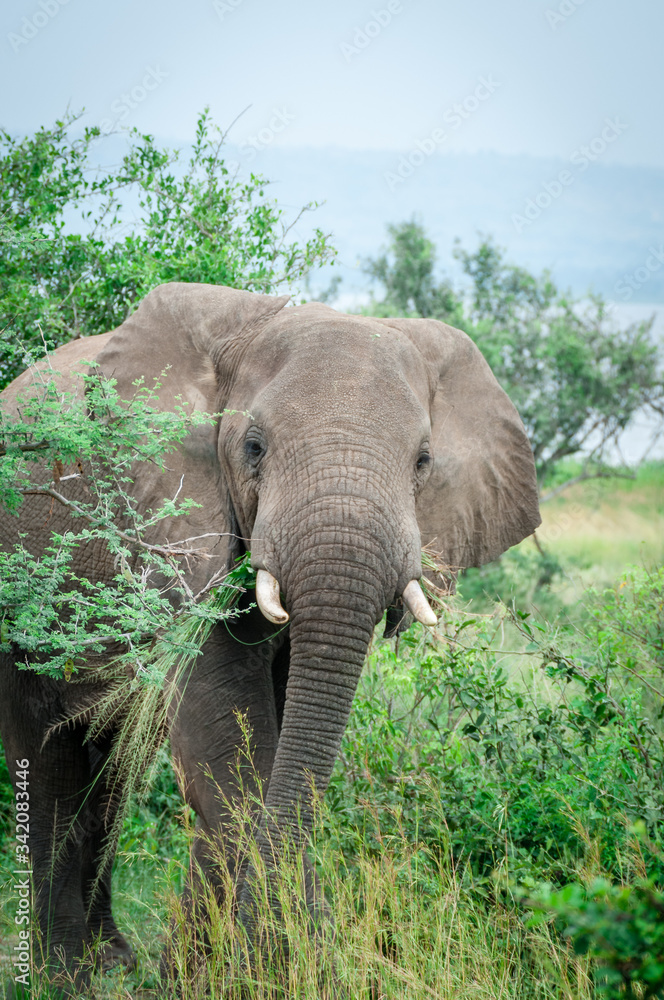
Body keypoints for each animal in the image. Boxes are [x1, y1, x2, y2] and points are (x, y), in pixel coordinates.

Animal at [0, 282, 541, 988]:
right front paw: (282, 965)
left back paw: (114, 961)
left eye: (423, 462)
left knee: (113, 768)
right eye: (254, 448)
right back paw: (67, 976)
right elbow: (225, 730)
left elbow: (267, 732)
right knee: (48, 759)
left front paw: (222, 970)